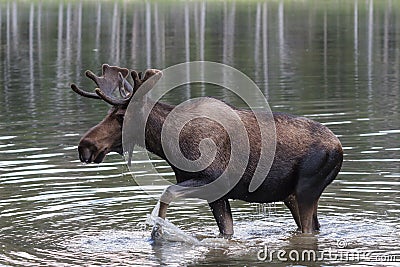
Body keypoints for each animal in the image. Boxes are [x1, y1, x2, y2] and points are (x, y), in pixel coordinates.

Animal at [69, 64, 344, 239]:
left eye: (120, 116)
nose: (85, 146)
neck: (170, 145)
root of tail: (339, 148)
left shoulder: (212, 179)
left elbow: (166, 193)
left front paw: (157, 234)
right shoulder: (215, 194)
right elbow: (226, 231)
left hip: (307, 188)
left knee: (308, 230)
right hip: (291, 195)